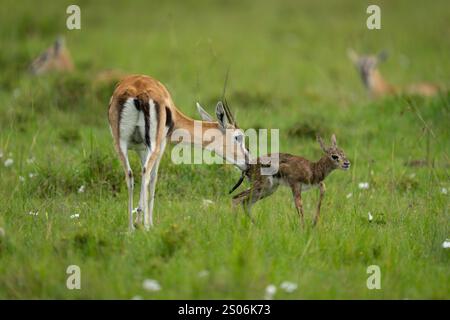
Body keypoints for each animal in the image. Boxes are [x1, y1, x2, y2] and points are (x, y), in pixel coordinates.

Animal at [110, 74, 250, 231]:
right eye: (238, 137)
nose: (248, 161)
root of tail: (138, 91)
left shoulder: (141, 148)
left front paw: (138, 220)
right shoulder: (162, 143)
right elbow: (153, 177)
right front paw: (148, 223)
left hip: (120, 143)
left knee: (130, 175)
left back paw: (130, 228)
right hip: (153, 145)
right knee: (146, 174)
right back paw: (146, 226)